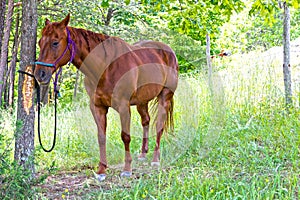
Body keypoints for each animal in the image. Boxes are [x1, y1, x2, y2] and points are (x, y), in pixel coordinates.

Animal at [34, 14, 178, 181]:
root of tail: (169, 51)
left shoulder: (123, 107)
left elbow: (125, 136)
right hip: (142, 101)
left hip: (164, 97)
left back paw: (155, 160)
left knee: (159, 125)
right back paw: (143, 154)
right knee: (146, 121)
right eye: (40, 42)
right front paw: (102, 170)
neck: (106, 67)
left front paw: (127, 169)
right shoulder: (98, 107)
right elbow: (101, 137)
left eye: (55, 42)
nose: (40, 74)